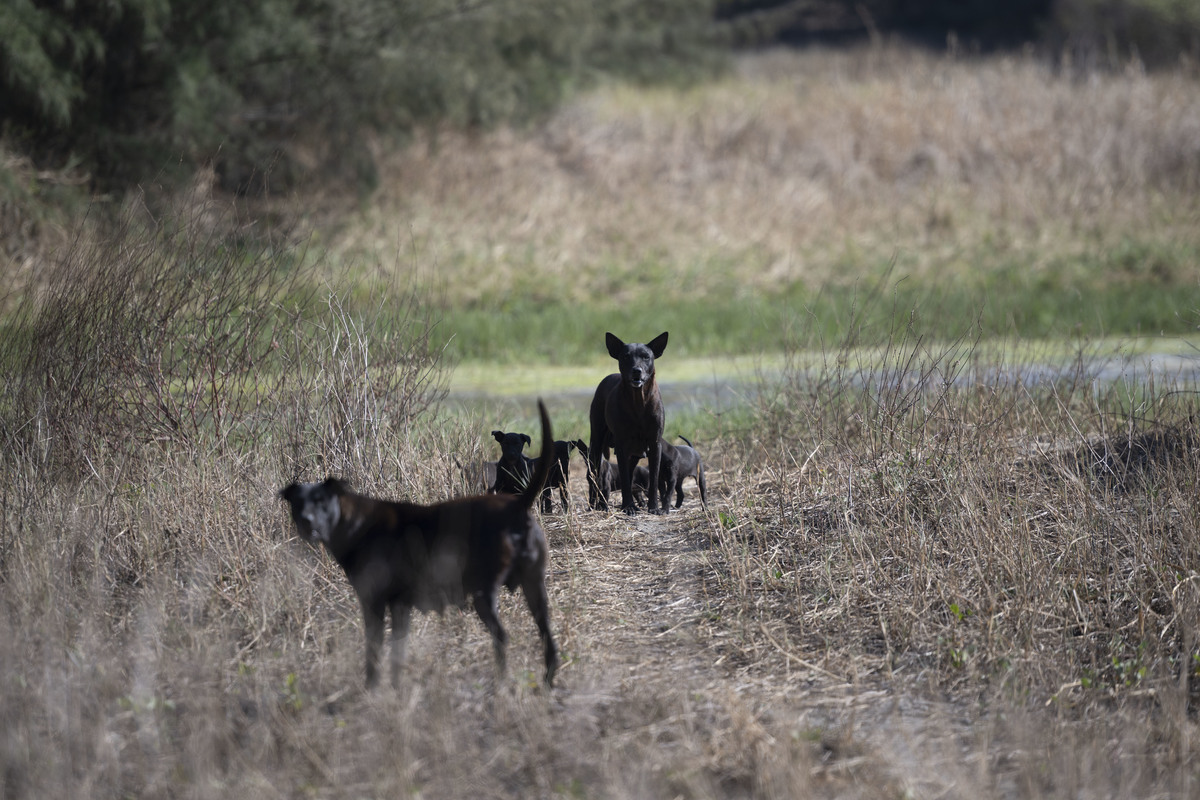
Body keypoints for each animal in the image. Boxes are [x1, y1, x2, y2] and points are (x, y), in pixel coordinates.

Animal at [278, 400, 559, 690]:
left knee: (502, 636)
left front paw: (372, 688)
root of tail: (515, 507)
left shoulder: (373, 603)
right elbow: (398, 650)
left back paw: (501, 684)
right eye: (297, 503)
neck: (356, 522)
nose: (306, 522)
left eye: (321, 502)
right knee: (548, 637)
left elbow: (374, 649)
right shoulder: (401, 606)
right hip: (534, 588)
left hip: (484, 593)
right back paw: (547, 680)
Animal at [588, 331, 672, 513]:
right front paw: (629, 507)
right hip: (596, 443)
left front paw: (654, 507)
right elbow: (625, 480)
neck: (638, 402)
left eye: (646, 357)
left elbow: (654, 478)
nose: (636, 371)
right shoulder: (621, 444)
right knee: (593, 474)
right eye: (626, 357)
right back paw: (593, 505)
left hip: (635, 452)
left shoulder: (655, 444)